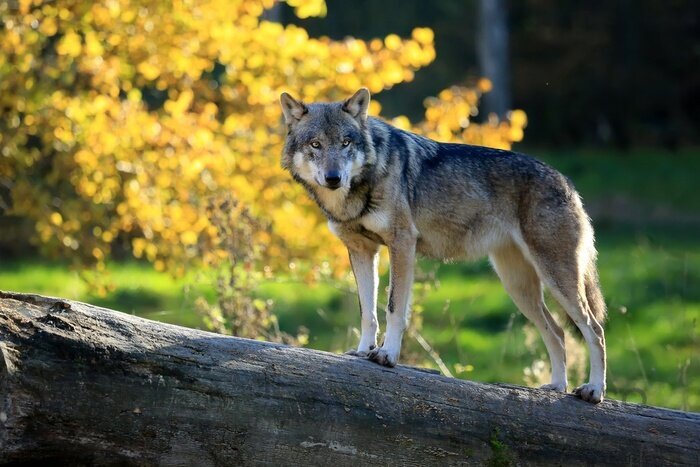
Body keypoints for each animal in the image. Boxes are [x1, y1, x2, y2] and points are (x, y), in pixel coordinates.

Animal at [278, 89, 608, 404]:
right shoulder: (362, 251)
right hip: (519, 288)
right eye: (316, 145)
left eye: (346, 142)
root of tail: (566, 181)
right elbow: (367, 312)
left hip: (556, 279)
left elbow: (393, 308)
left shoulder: (402, 244)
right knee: (559, 333)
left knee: (595, 330)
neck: (360, 187)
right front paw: (362, 351)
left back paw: (593, 391)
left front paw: (387, 355)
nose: (333, 178)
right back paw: (556, 387)